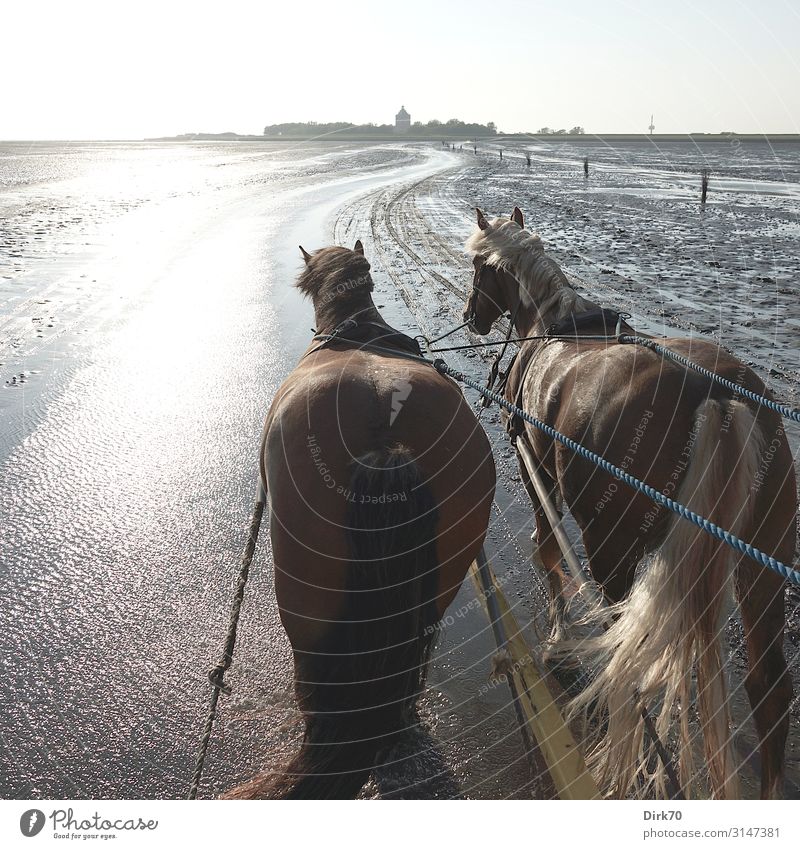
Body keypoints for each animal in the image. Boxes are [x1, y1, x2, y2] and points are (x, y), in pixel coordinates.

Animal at [462, 209, 792, 800]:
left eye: (478, 268)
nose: (469, 317)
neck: (553, 325)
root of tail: (715, 393)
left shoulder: (535, 472)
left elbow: (547, 553)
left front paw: (557, 638)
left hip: (610, 547)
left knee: (625, 659)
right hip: (764, 564)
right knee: (769, 687)